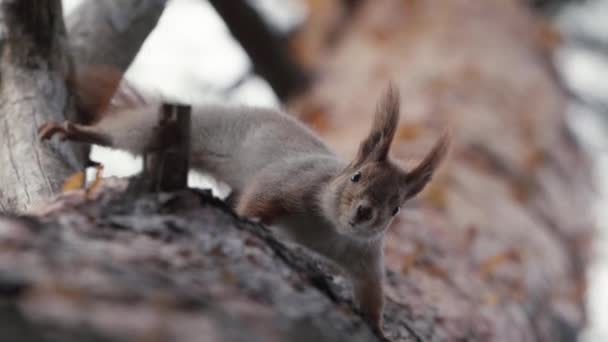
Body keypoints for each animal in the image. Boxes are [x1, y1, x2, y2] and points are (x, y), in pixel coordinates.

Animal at [36, 69, 446, 334]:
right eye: (356, 177)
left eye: (396, 207)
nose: (364, 213)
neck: (328, 228)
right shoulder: (286, 185)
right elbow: (256, 204)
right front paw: (245, 222)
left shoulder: (363, 256)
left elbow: (372, 292)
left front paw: (378, 328)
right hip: (178, 127)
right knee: (125, 133)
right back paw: (76, 130)